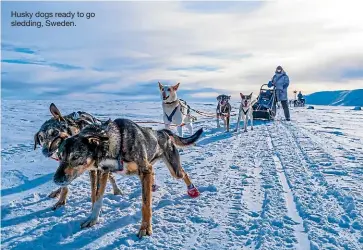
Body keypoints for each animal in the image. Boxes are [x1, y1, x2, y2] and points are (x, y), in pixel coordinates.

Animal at [52, 118, 203, 237]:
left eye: (75, 157)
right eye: (60, 157)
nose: (56, 180)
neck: (116, 142)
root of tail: (163, 132)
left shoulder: (144, 169)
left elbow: (146, 204)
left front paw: (145, 227)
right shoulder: (103, 172)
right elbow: (98, 198)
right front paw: (93, 219)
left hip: (174, 170)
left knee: (183, 174)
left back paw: (192, 189)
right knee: (154, 173)